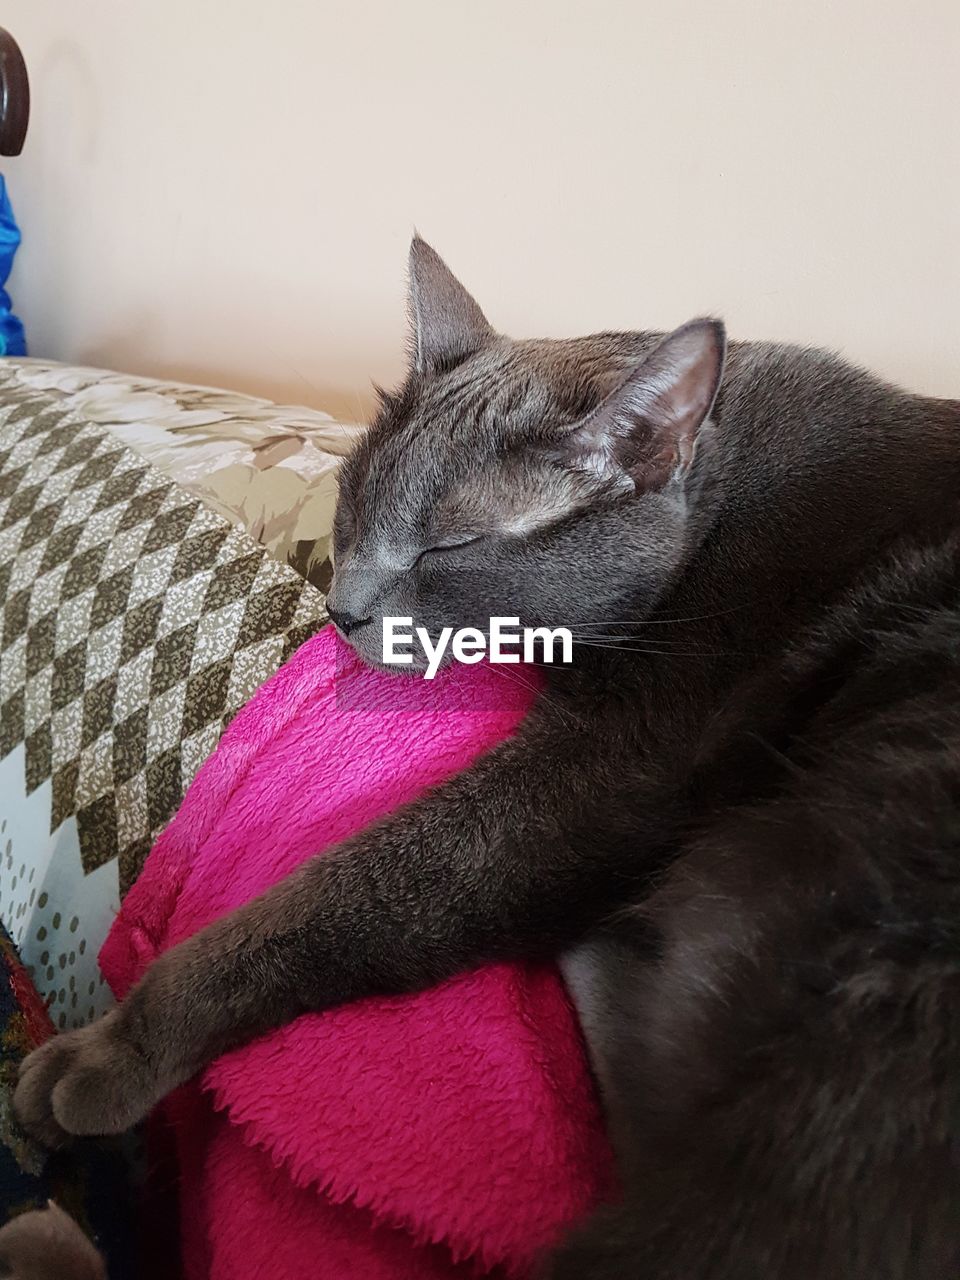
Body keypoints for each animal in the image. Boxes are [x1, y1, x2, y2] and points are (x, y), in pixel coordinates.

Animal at [13, 241, 960, 1280]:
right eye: (353, 499)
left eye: (451, 545)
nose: (341, 610)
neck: (719, 511)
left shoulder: (611, 760)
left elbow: (346, 894)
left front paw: (109, 1051)